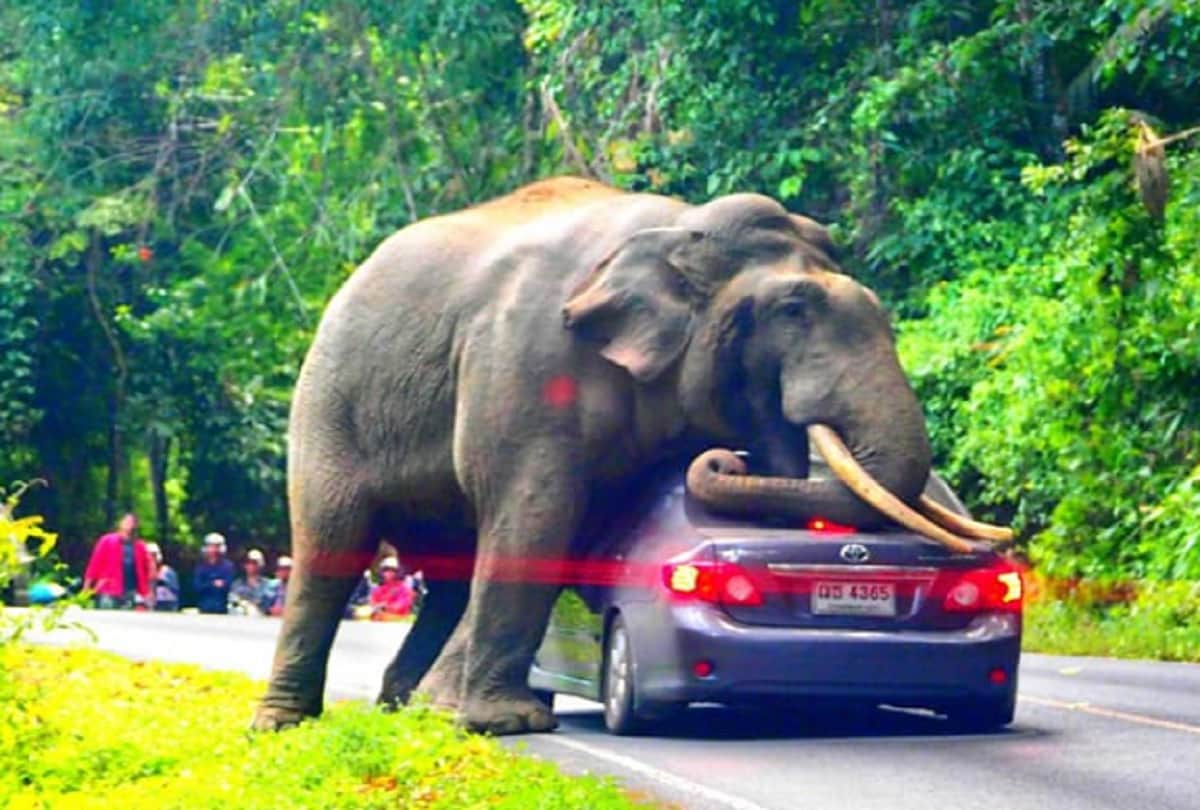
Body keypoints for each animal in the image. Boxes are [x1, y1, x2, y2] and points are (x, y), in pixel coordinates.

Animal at [252, 176, 1006, 736]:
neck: (677, 231)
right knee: (333, 543)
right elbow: (538, 512)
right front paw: (506, 724)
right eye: (793, 309)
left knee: (449, 573)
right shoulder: (525, 359)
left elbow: (569, 530)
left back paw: (406, 709)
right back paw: (285, 726)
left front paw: (464, 715)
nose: (727, 458)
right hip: (329, 402)